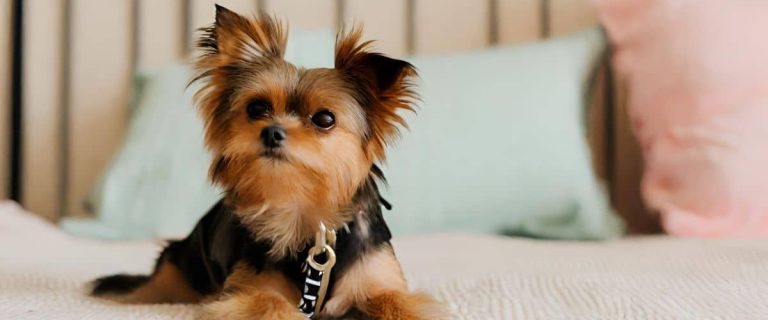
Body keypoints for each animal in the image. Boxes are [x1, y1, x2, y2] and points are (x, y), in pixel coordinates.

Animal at [90, 5, 450, 320]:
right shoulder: (247, 292)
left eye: (324, 119)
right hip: (176, 271)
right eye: (257, 108)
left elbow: (396, 302)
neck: (305, 213)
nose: (271, 132)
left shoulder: (380, 281)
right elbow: (268, 303)